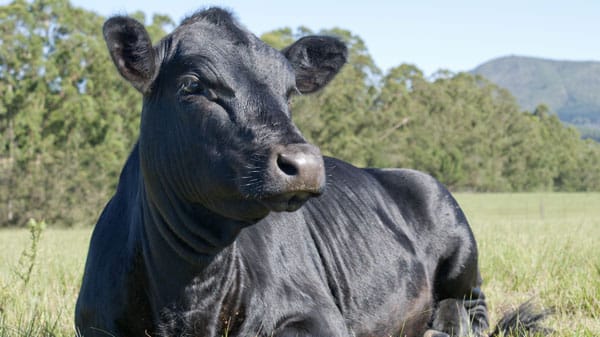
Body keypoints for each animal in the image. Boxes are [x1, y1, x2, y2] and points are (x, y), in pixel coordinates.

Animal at [75, 7, 548, 336]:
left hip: (461, 248)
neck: (191, 293)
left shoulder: (318, 313)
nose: (305, 163)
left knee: (471, 309)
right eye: (193, 85)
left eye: (289, 92)